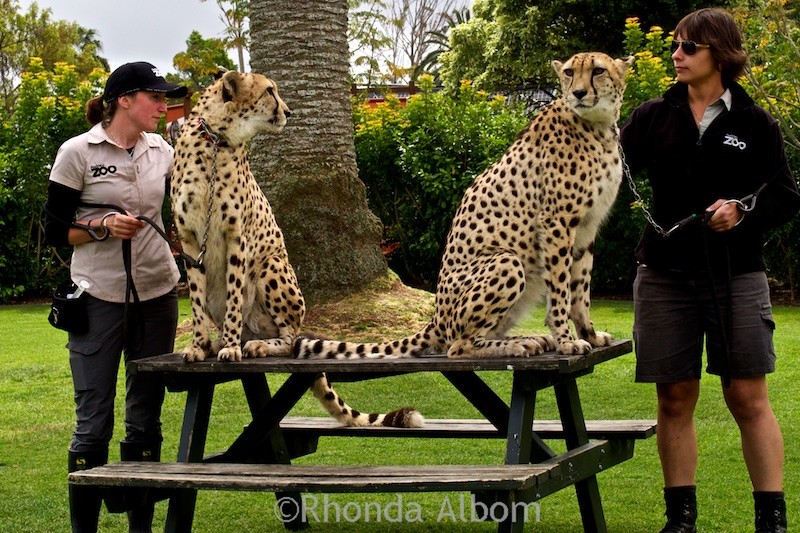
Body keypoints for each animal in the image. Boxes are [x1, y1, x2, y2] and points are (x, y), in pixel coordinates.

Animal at [167, 70, 418, 426]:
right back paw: (222, 342)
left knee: (287, 340)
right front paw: (200, 346)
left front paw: (230, 347)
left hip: (271, 266)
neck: (214, 140)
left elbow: (234, 298)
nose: (289, 111)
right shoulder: (188, 240)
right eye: (269, 91)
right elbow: (198, 304)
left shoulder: (236, 236)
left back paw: (253, 345)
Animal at [294, 52, 636, 360]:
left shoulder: (586, 228)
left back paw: (526, 338)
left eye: (598, 71)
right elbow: (562, 292)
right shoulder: (557, 223)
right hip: (507, 261)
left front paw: (590, 334)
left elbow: (581, 290)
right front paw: (567, 341)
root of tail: (436, 316)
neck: (598, 127)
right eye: (568, 72)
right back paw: (518, 344)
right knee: (457, 345)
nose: (577, 93)